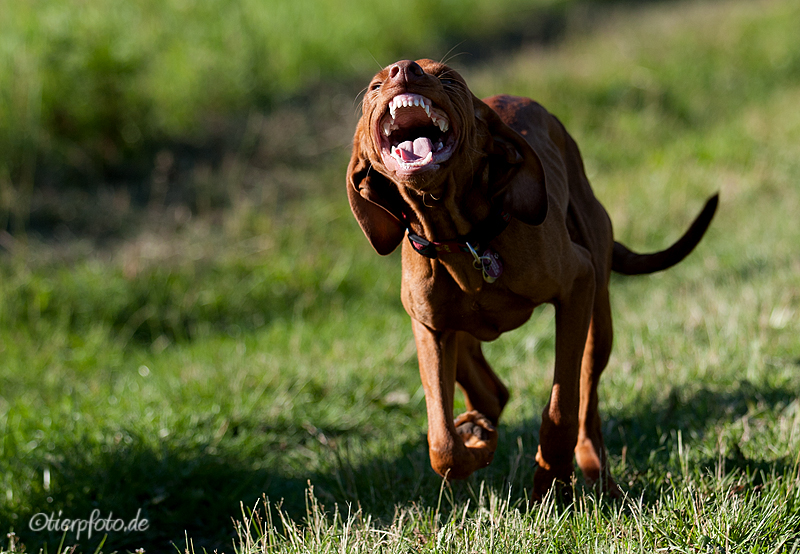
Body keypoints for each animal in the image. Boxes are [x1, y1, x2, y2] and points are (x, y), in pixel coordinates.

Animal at [346, 59, 720, 496]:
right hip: (457, 330)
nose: (403, 69)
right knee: (491, 392)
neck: (462, 239)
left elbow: (562, 408)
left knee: (587, 402)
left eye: (447, 77)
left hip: (597, 317)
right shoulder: (429, 328)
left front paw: (550, 479)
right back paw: (480, 429)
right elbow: (442, 444)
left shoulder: (577, 286)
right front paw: (475, 442)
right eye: (374, 86)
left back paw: (596, 472)